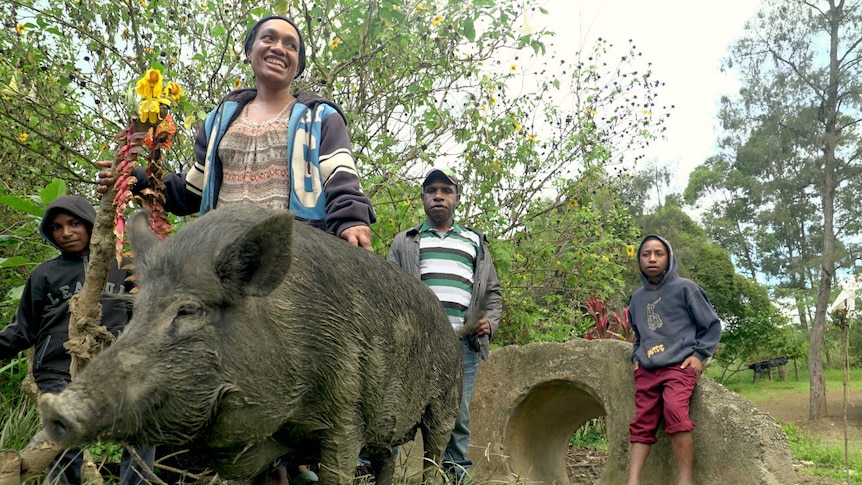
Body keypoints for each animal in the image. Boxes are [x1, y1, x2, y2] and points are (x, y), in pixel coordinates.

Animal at [38, 204, 466, 484]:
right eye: (137, 310)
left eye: (188, 310)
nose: (55, 407)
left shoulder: (347, 415)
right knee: (386, 461)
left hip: (446, 399)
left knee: (434, 454)